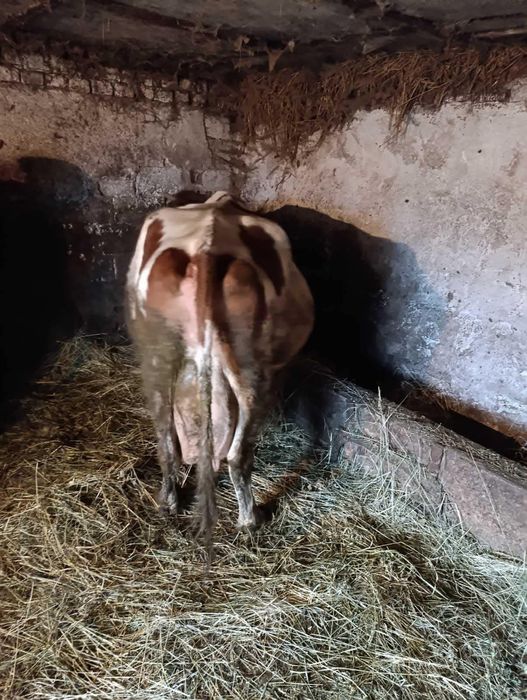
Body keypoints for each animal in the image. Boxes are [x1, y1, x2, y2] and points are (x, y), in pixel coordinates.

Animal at [126, 191, 314, 543]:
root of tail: (206, 250)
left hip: (157, 355)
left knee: (167, 440)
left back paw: (169, 504)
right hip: (253, 366)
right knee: (239, 453)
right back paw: (250, 520)